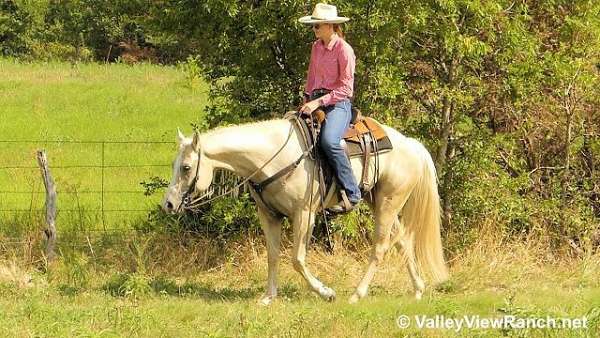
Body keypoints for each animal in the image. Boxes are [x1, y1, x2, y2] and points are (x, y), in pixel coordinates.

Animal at [162, 117, 448, 304]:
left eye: (186, 167)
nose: (168, 204)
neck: (274, 157)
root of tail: (412, 145)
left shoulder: (304, 214)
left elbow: (297, 259)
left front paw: (326, 292)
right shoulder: (269, 216)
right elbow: (273, 256)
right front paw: (268, 297)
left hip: (389, 203)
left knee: (380, 247)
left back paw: (356, 294)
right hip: (379, 202)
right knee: (403, 241)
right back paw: (418, 289)